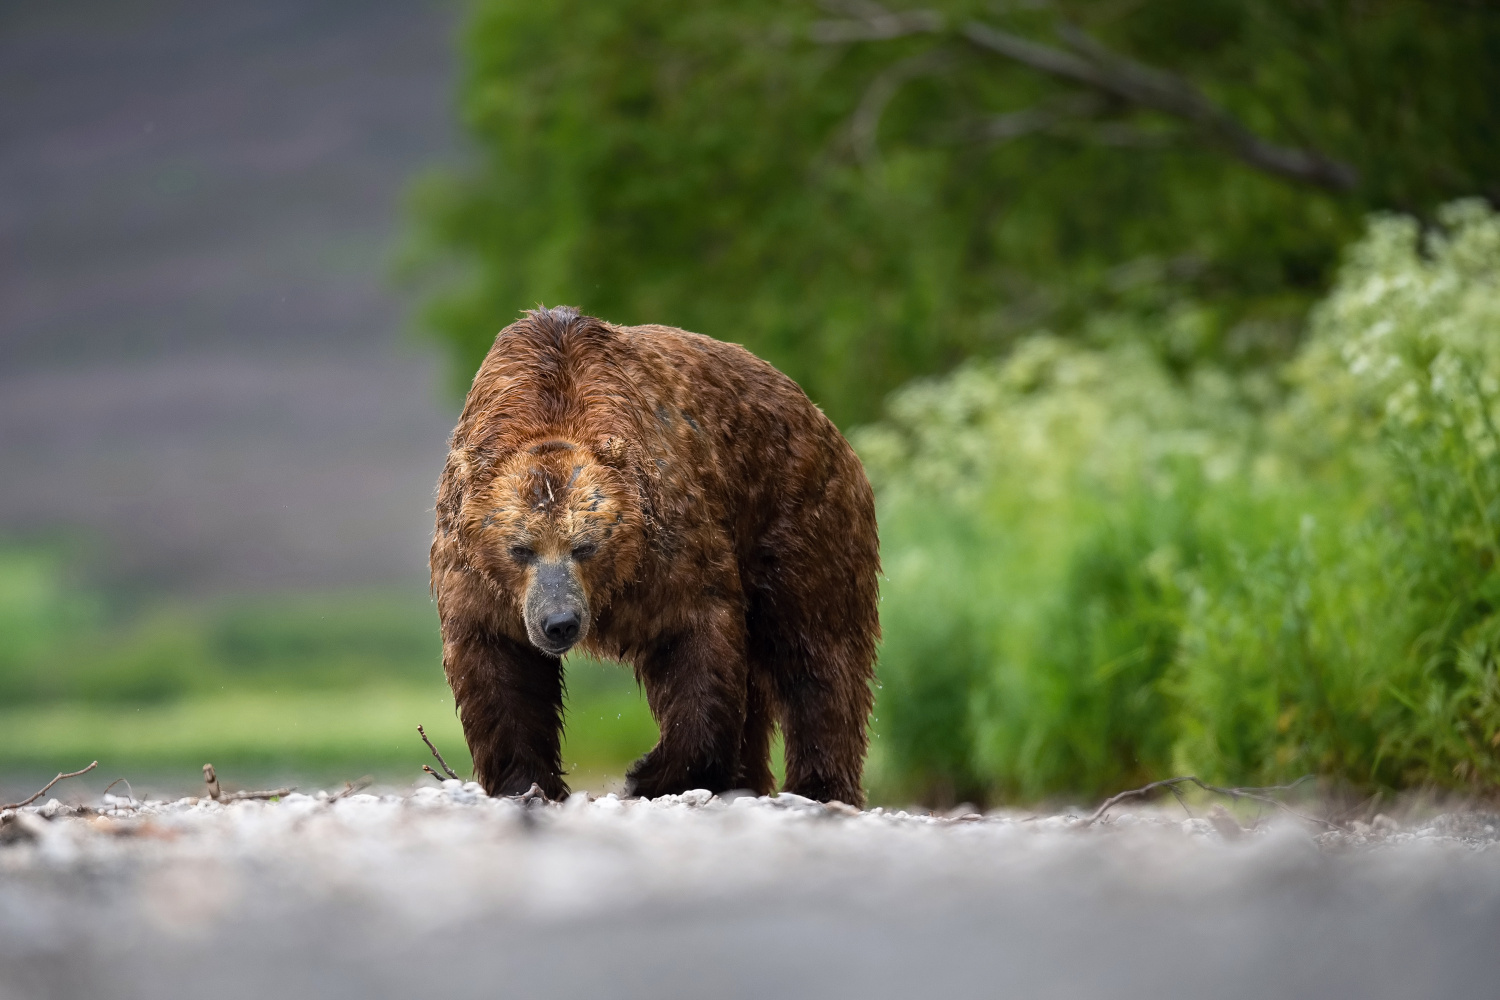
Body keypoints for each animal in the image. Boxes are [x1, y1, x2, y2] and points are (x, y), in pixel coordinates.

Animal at [432, 305, 876, 803]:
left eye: (585, 546)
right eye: (520, 548)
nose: (559, 622)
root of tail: (820, 418)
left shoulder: (668, 545)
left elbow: (694, 639)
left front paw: (651, 773)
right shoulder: (478, 577)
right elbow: (499, 666)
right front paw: (526, 780)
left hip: (796, 516)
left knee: (817, 649)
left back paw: (819, 785)